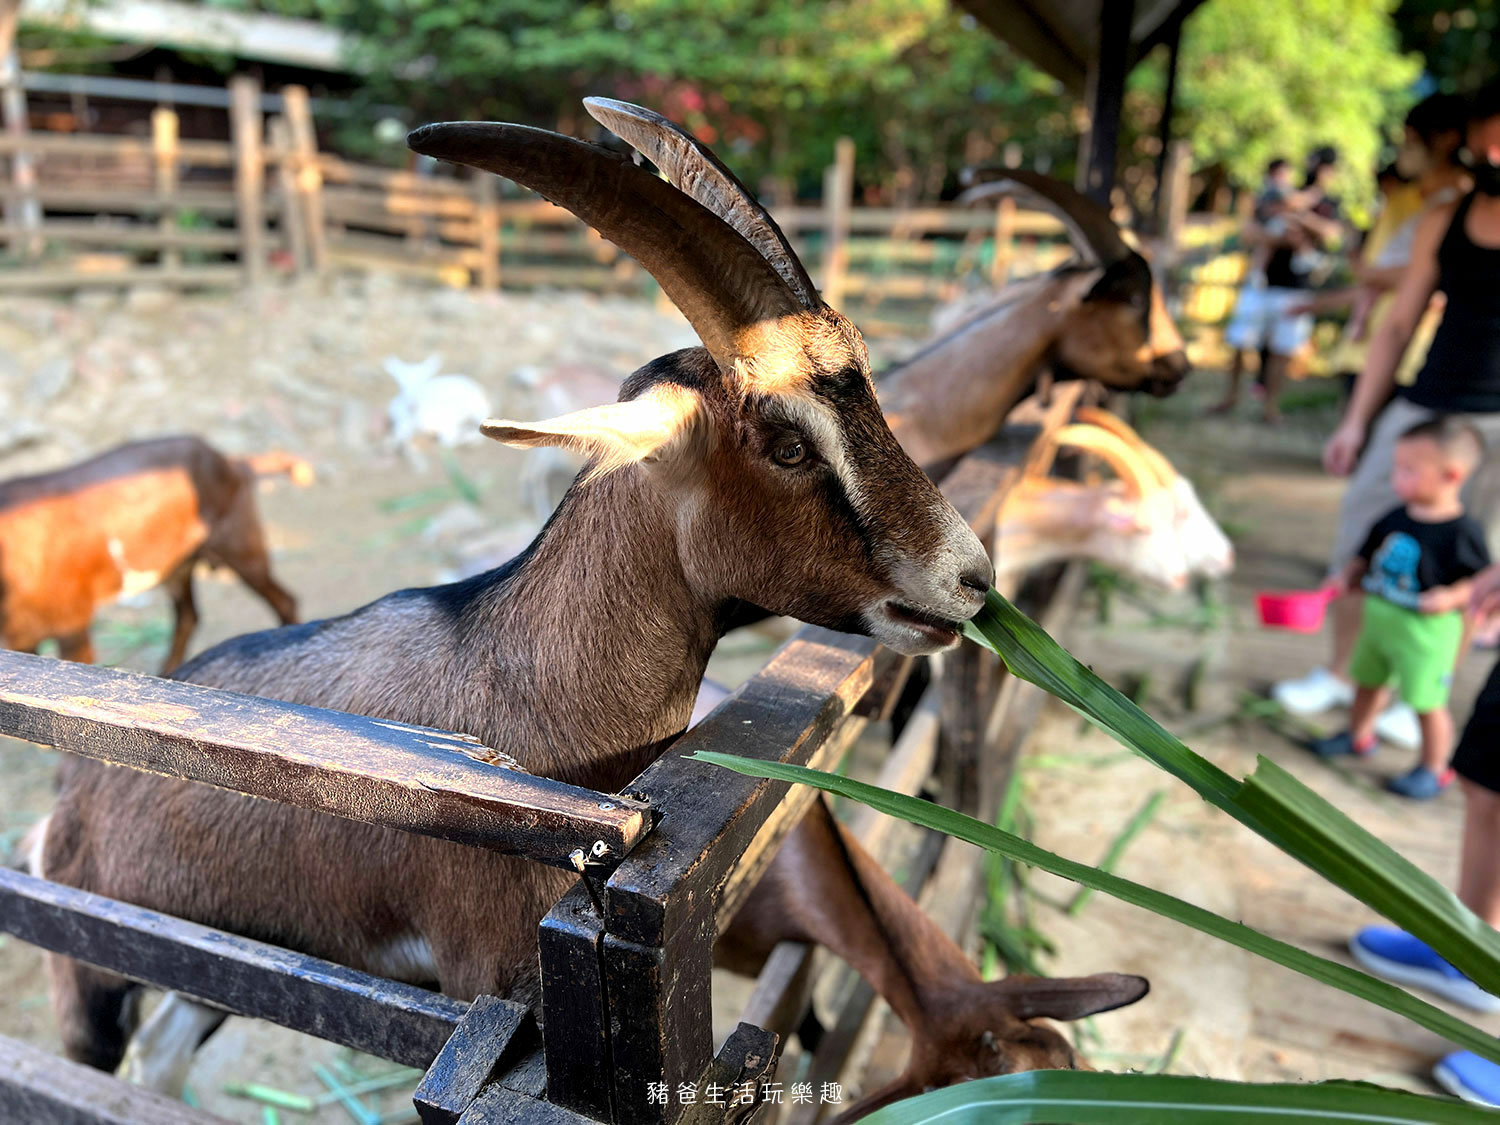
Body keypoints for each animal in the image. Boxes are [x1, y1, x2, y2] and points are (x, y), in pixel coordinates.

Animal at [0, 435, 307, 675]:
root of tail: (231, 461)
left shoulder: (72, 624)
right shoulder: (21, 635)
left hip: (239, 540)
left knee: (283, 599)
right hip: (177, 565)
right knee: (188, 616)